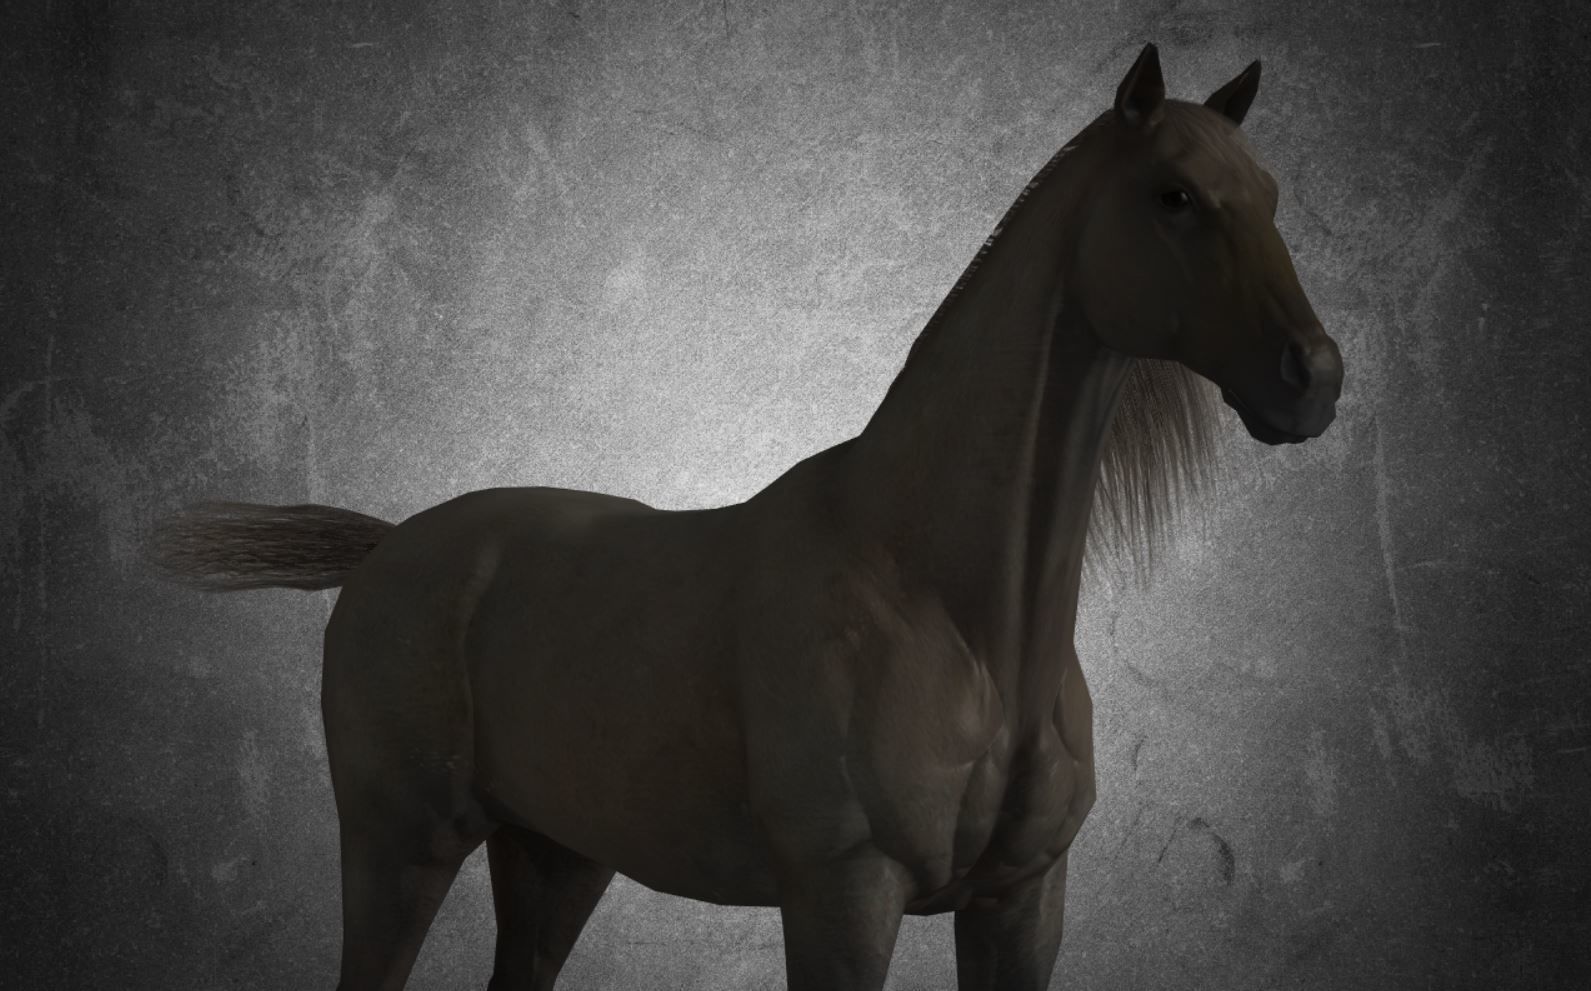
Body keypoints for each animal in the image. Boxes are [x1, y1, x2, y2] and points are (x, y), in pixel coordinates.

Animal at [149, 43, 1343, 991]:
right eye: (1174, 196)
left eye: (1273, 194)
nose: (1315, 379)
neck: (951, 610)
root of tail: (390, 547)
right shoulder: (841, 897)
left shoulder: (1020, 904)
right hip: (399, 848)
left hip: (554, 853)